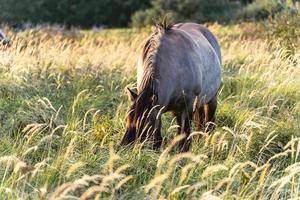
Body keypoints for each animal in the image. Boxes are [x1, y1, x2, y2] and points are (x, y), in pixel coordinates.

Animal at [120, 21, 221, 151]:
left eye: (146, 124)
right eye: (127, 120)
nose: (124, 149)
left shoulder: (188, 107)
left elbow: (185, 134)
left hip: (211, 99)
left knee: (209, 123)